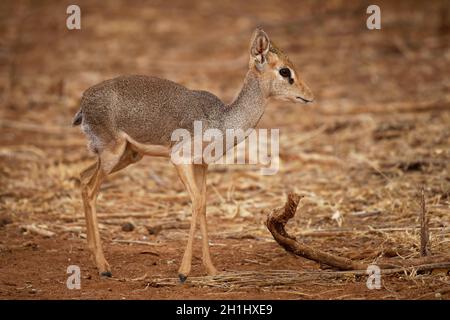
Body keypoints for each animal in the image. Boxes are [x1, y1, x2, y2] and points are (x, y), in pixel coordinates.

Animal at [73, 28, 312, 282]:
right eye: (285, 71)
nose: (309, 95)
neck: (222, 119)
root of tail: (84, 100)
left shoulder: (202, 165)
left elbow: (203, 205)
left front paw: (211, 269)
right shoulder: (180, 160)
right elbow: (196, 202)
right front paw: (183, 272)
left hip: (126, 156)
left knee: (83, 178)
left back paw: (94, 255)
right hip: (112, 154)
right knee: (91, 191)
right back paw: (103, 267)